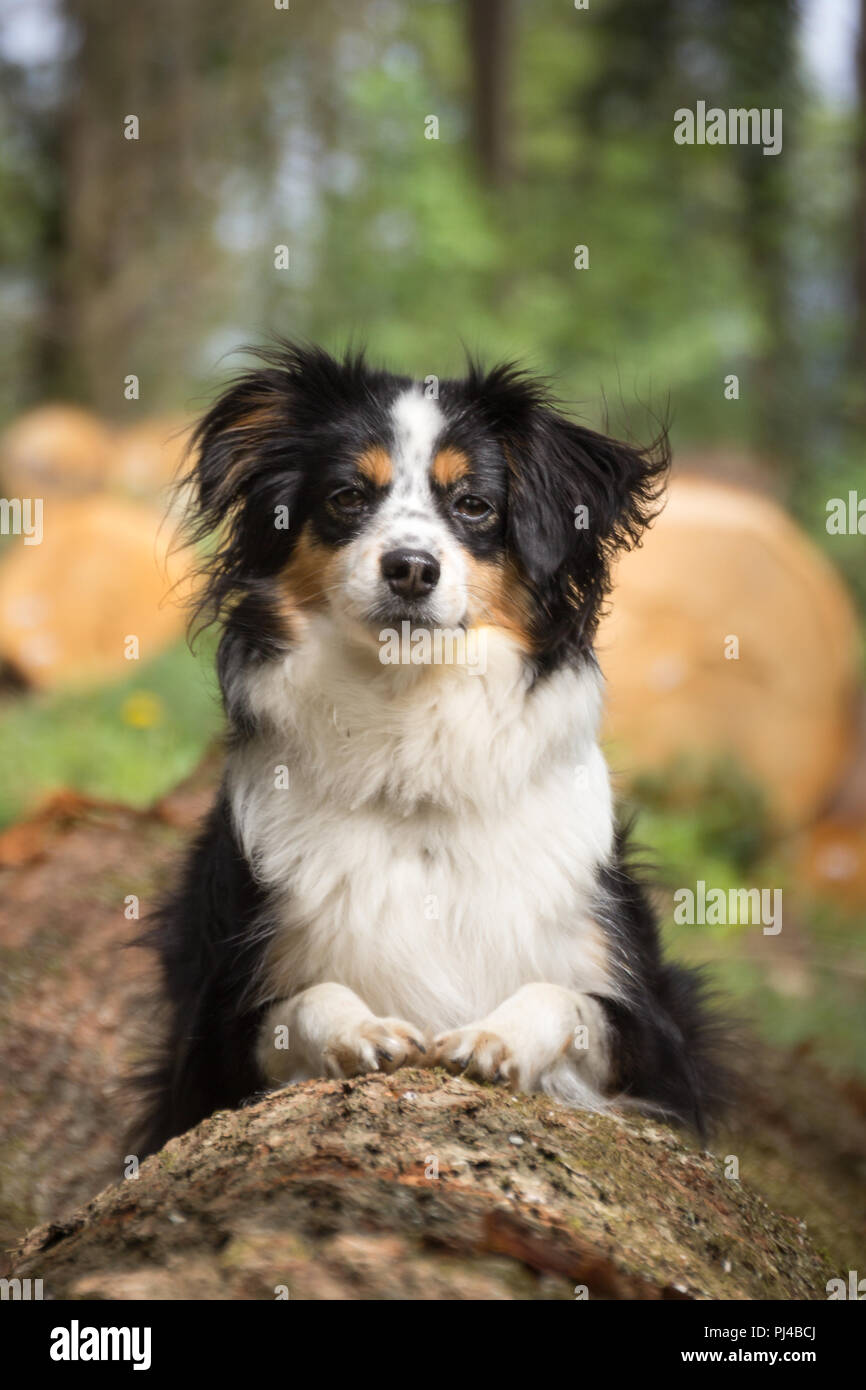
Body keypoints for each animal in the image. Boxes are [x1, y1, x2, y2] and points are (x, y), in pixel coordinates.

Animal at [134, 341, 733, 1156]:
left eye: (474, 505)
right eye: (348, 497)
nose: (413, 568)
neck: (412, 751)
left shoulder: (659, 1041)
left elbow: (569, 998)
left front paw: (496, 1038)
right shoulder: (209, 1044)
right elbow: (303, 1002)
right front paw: (359, 1031)